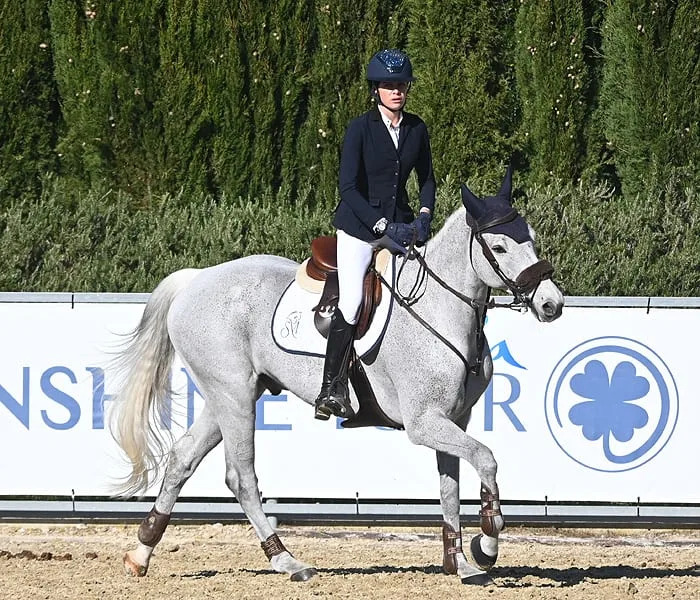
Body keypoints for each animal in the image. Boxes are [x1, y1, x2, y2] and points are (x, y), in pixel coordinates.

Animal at [113, 172, 564, 584]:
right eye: (500, 247)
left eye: (532, 239)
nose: (552, 304)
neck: (440, 310)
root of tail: (197, 277)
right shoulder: (423, 424)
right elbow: (487, 459)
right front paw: (486, 543)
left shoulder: (453, 420)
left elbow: (450, 489)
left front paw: (459, 562)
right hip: (234, 394)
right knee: (240, 476)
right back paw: (287, 561)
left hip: (229, 394)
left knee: (182, 458)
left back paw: (141, 553)